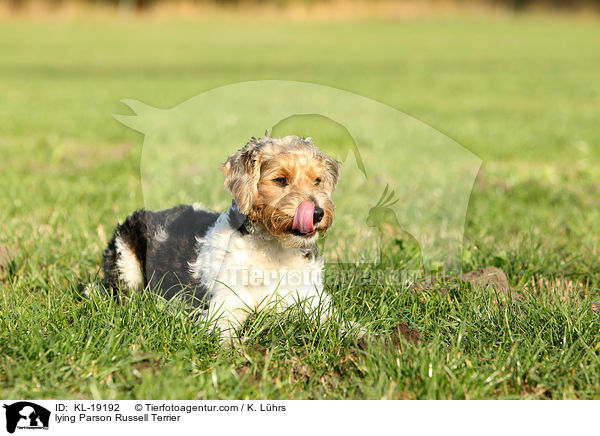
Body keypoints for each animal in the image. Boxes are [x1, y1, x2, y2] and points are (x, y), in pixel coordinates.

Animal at [99, 135, 352, 342]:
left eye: (317, 180)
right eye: (281, 179)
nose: (317, 213)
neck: (275, 251)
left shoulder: (314, 301)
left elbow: (343, 324)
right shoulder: (225, 306)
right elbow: (223, 336)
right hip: (126, 262)